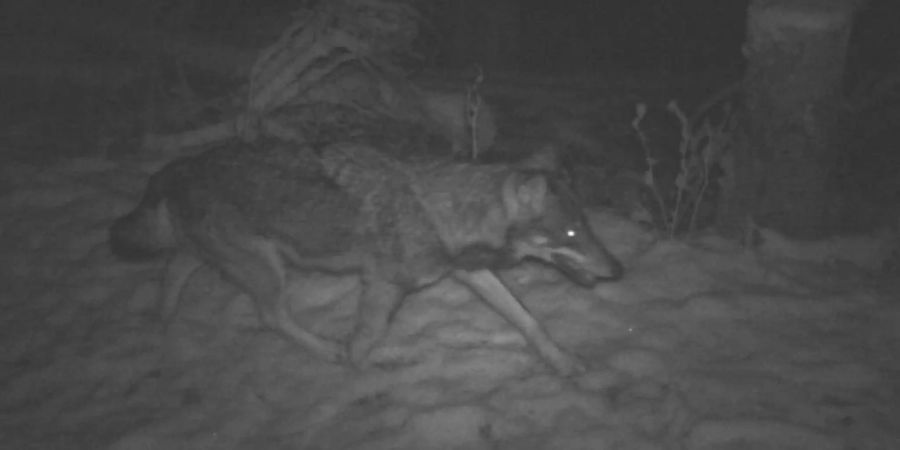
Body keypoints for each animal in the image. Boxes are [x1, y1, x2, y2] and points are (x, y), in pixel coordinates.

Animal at [109, 142, 624, 376]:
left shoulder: (472, 274)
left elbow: (528, 319)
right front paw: (361, 370)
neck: (440, 213)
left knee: (175, 267)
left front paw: (561, 362)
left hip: (228, 257)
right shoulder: (381, 286)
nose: (619, 271)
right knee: (272, 317)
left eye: (588, 226)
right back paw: (325, 350)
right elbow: (365, 341)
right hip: (268, 271)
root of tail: (177, 165)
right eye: (572, 233)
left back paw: (164, 317)